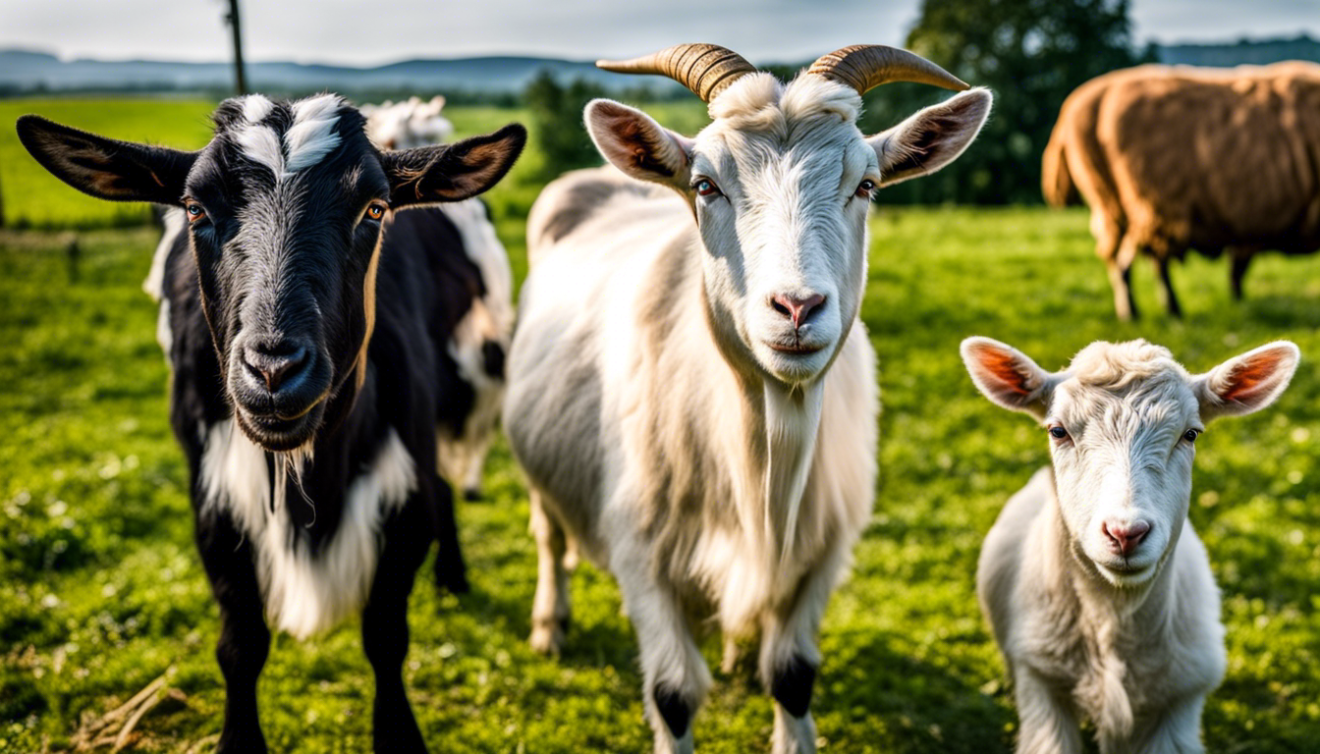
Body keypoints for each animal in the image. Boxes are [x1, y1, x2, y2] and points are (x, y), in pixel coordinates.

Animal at [505, 43, 992, 753]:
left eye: (867, 185)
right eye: (706, 185)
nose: (797, 307)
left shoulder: (821, 551)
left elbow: (791, 675)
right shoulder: (641, 552)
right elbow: (673, 694)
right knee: (548, 535)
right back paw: (549, 626)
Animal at [961, 336, 1300, 753]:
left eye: (1191, 434)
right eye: (1057, 431)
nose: (1126, 532)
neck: (1115, 614)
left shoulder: (1181, 698)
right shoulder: (1039, 678)